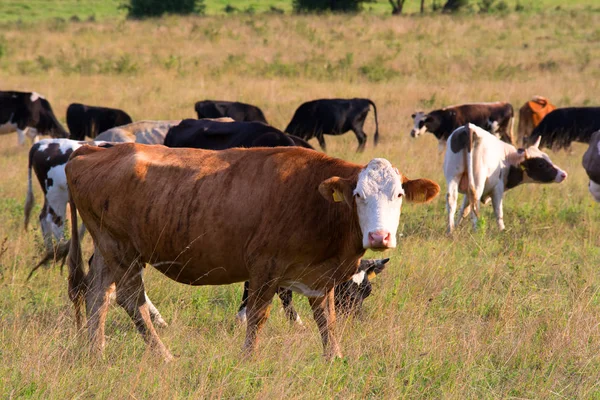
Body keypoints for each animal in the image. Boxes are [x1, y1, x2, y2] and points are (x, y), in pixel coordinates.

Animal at [67, 144, 440, 360]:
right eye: (358, 195)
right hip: (122, 249)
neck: (313, 200)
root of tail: (91, 149)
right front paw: (248, 359)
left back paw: (95, 354)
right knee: (131, 300)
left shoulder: (320, 277)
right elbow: (258, 317)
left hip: (108, 250)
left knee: (97, 295)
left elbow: (327, 320)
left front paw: (333, 358)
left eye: (399, 195)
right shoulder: (265, 268)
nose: (380, 236)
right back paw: (164, 357)